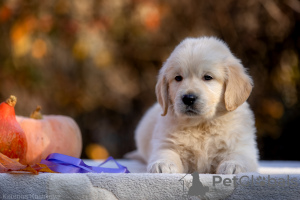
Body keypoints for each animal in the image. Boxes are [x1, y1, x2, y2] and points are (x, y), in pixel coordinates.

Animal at [129, 36, 258, 174]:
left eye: (208, 77)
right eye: (178, 78)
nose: (188, 98)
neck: (200, 125)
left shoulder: (242, 145)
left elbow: (238, 155)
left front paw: (233, 165)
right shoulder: (165, 141)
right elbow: (166, 152)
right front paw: (162, 164)